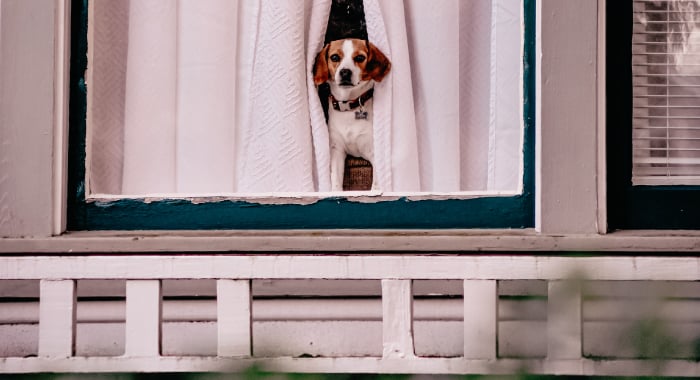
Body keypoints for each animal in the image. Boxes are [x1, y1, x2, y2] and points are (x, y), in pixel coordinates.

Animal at [314, 38, 392, 190]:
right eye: (334, 57)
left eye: (360, 58)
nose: (345, 72)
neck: (349, 106)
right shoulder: (337, 151)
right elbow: (336, 182)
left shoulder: (374, 153)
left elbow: (376, 184)